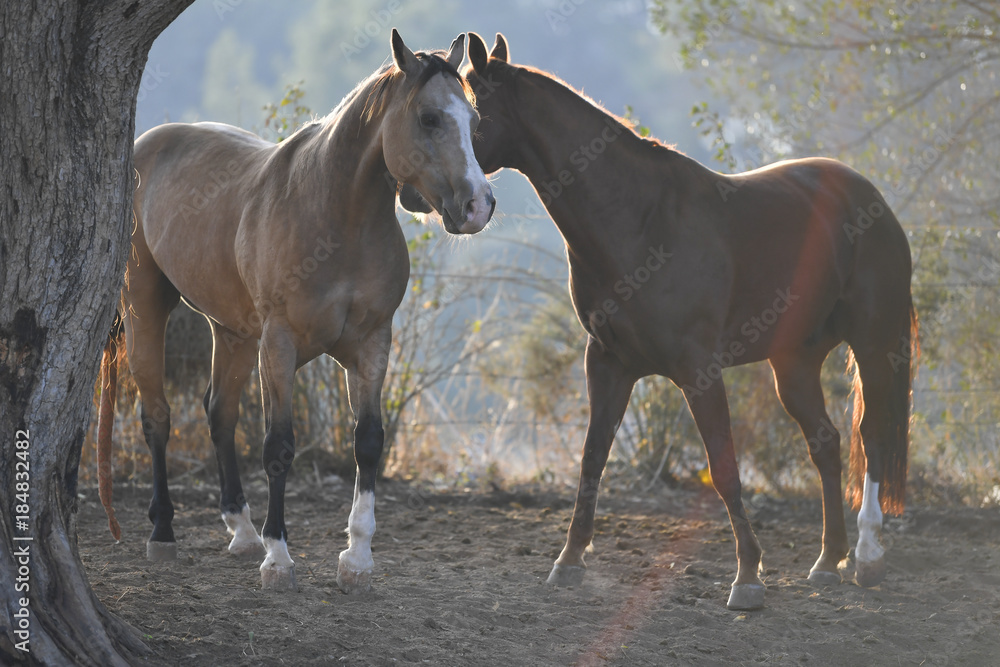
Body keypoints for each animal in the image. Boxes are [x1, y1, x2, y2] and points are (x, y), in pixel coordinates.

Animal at [96, 30, 495, 593]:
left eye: (474, 121)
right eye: (429, 118)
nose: (479, 205)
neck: (335, 216)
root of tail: (145, 145)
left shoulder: (372, 343)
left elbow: (368, 442)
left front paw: (357, 558)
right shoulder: (280, 344)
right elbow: (279, 445)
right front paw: (279, 558)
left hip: (234, 333)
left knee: (220, 413)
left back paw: (241, 531)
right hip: (146, 307)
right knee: (157, 417)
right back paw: (165, 533)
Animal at [450, 32, 917, 610]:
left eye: (472, 115)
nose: (461, 206)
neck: (640, 221)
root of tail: (871, 199)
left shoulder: (698, 371)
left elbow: (724, 469)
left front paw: (748, 577)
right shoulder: (608, 364)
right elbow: (592, 460)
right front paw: (570, 561)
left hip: (873, 345)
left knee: (873, 438)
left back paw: (867, 557)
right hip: (795, 363)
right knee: (827, 443)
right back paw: (829, 561)